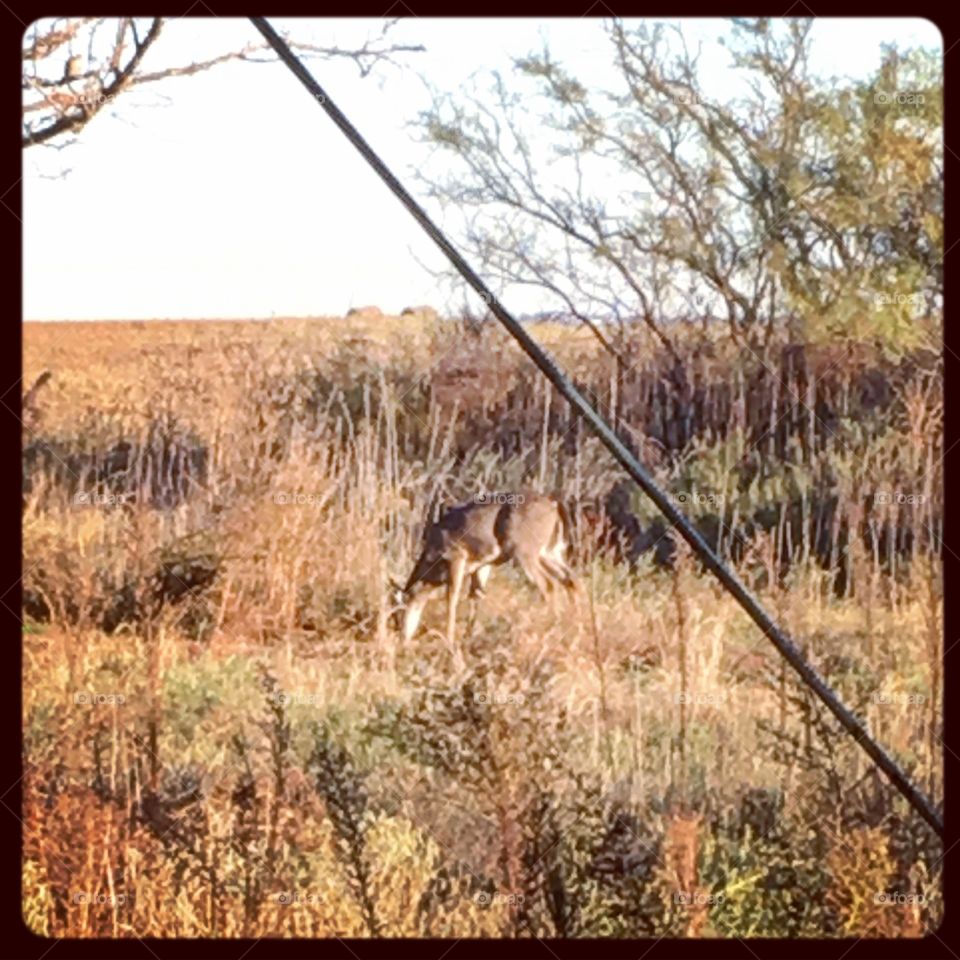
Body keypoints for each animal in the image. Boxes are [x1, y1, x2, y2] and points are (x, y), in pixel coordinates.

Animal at [398, 496, 576, 644]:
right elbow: (476, 594)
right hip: (551, 551)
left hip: (525, 551)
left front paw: (450, 639)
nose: (402, 637)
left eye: (400, 611)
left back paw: (549, 628)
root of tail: (555, 505)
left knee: (548, 584)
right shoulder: (482, 564)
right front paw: (468, 635)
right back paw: (572, 625)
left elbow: (452, 598)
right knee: (570, 580)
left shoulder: (457, 556)